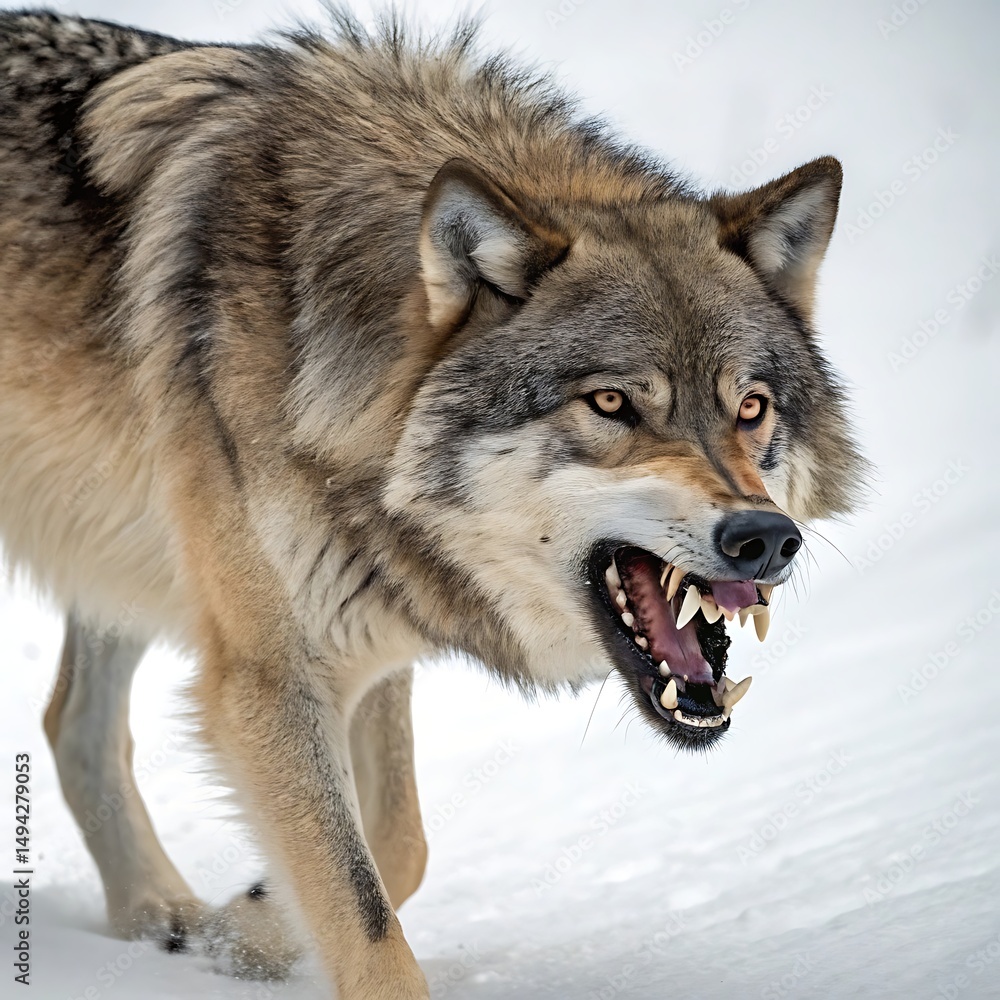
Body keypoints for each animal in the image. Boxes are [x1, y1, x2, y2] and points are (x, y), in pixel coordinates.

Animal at [0, 7, 864, 998]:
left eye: (750, 408)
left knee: (72, 724)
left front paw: (249, 931)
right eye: (612, 403)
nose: (765, 539)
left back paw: (163, 918)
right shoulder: (271, 673)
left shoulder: (369, 632)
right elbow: (364, 909)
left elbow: (399, 846)